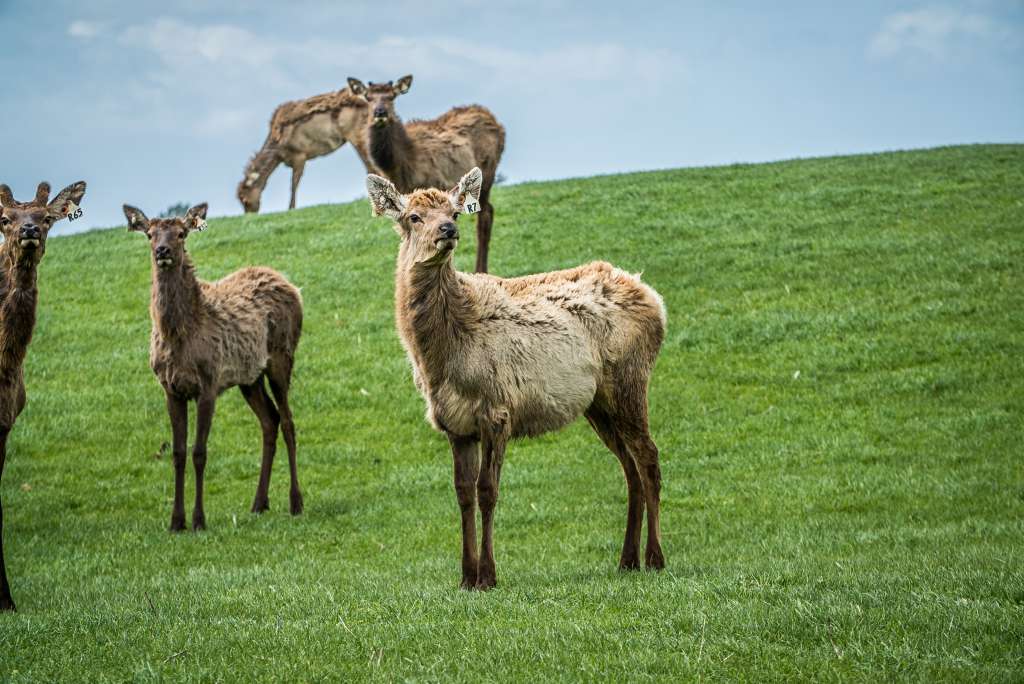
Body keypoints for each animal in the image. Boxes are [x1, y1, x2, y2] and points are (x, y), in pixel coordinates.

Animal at [124, 200, 303, 532]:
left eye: (181, 233)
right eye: (150, 234)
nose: (163, 251)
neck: (180, 335)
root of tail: (291, 285)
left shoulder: (209, 383)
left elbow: (199, 452)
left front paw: (198, 520)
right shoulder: (171, 389)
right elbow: (178, 452)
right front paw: (176, 521)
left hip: (281, 357)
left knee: (287, 421)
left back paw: (296, 502)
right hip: (249, 377)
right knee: (269, 421)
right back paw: (259, 503)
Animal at [237, 87, 374, 211]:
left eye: (245, 200)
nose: (250, 215)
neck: (278, 152)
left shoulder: (300, 155)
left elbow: (294, 183)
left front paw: (291, 208)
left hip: (356, 133)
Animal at [348, 76, 503, 274]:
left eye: (391, 96)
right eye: (368, 97)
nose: (380, 112)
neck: (401, 164)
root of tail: (494, 119)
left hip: (487, 176)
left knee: (485, 215)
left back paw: (481, 269)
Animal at [364, 169, 667, 589]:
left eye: (454, 212)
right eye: (413, 217)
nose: (448, 230)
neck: (439, 358)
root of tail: (656, 300)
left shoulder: (497, 409)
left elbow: (487, 491)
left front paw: (488, 576)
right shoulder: (455, 424)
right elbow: (462, 493)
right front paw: (465, 576)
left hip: (630, 378)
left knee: (649, 458)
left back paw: (654, 558)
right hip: (598, 404)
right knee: (630, 467)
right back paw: (626, 560)